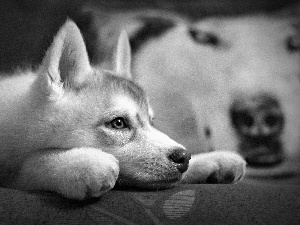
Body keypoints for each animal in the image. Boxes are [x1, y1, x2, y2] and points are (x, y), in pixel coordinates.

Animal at [0, 19, 245, 199]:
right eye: (118, 123)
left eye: (152, 121)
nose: (183, 157)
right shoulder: (13, 169)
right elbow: (31, 165)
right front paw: (80, 163)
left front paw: (210, 160)